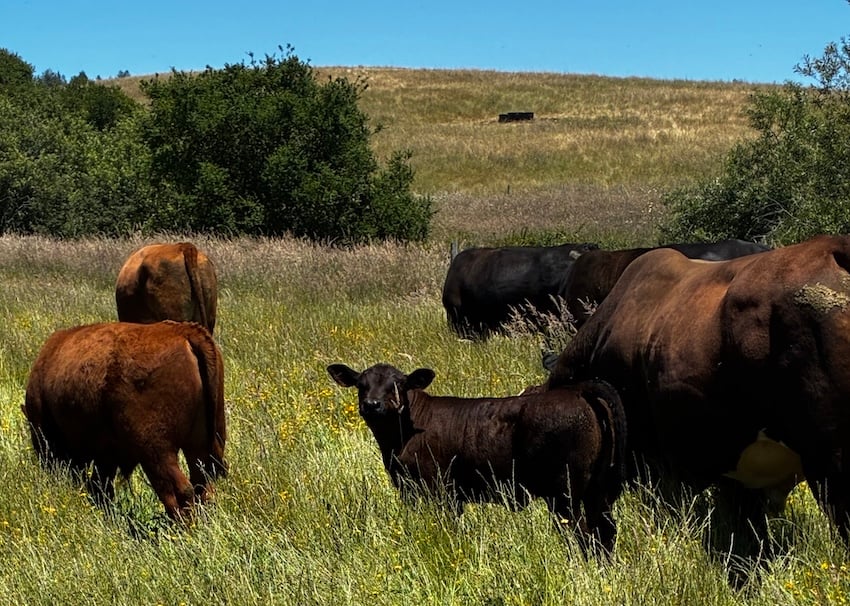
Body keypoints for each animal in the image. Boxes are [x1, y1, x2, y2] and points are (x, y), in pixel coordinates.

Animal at [22, 321, 228, 520]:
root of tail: (183, 331)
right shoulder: (105, 455)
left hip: (157, 453)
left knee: (177, 490)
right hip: (199, 445)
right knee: (202, 484)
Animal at [327, 362, 626, 551]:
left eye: (399, 384)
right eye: (361, 385)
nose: (372, 404)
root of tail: (576, 391)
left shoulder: (436, 489)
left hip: (565, 492)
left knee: (582, 534)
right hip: (597, 489)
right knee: (605, 531)